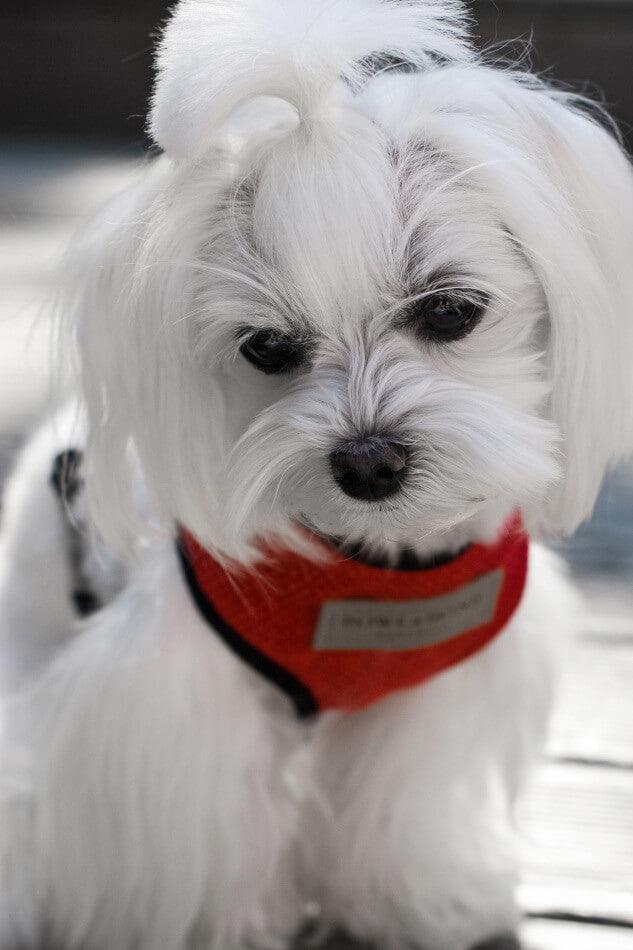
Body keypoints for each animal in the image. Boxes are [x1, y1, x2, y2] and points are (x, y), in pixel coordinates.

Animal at [1, 0, 632, 948]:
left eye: (451, 310)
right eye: (266, 348)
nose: (367, 462)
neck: (373, 566)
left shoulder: (428, 695)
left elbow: (399, 813)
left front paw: (417, 904)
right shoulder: (177, 705)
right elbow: (204, 839)